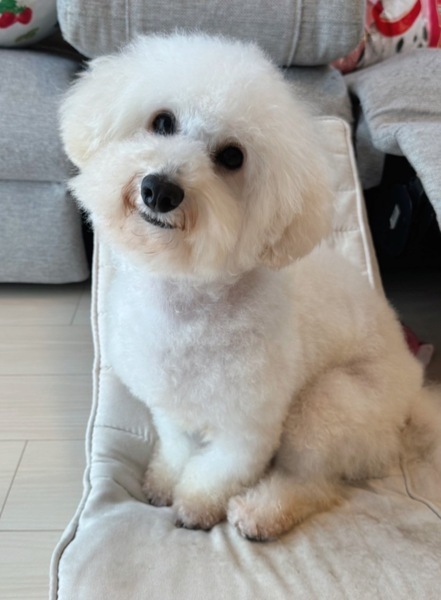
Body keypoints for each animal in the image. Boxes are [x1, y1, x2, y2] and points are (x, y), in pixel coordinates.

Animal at [60, 32, 441, 540]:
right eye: (162, 122)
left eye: (231, 157)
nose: (160, 190)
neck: (188, 304)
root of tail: (413, 393)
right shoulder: (169, 403)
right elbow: (177, 444)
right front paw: (164, 479)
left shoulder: (248, 426)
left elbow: (220, 468)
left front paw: (196, 505)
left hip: (332, 403)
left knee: (315, 482)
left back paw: (264, 511)